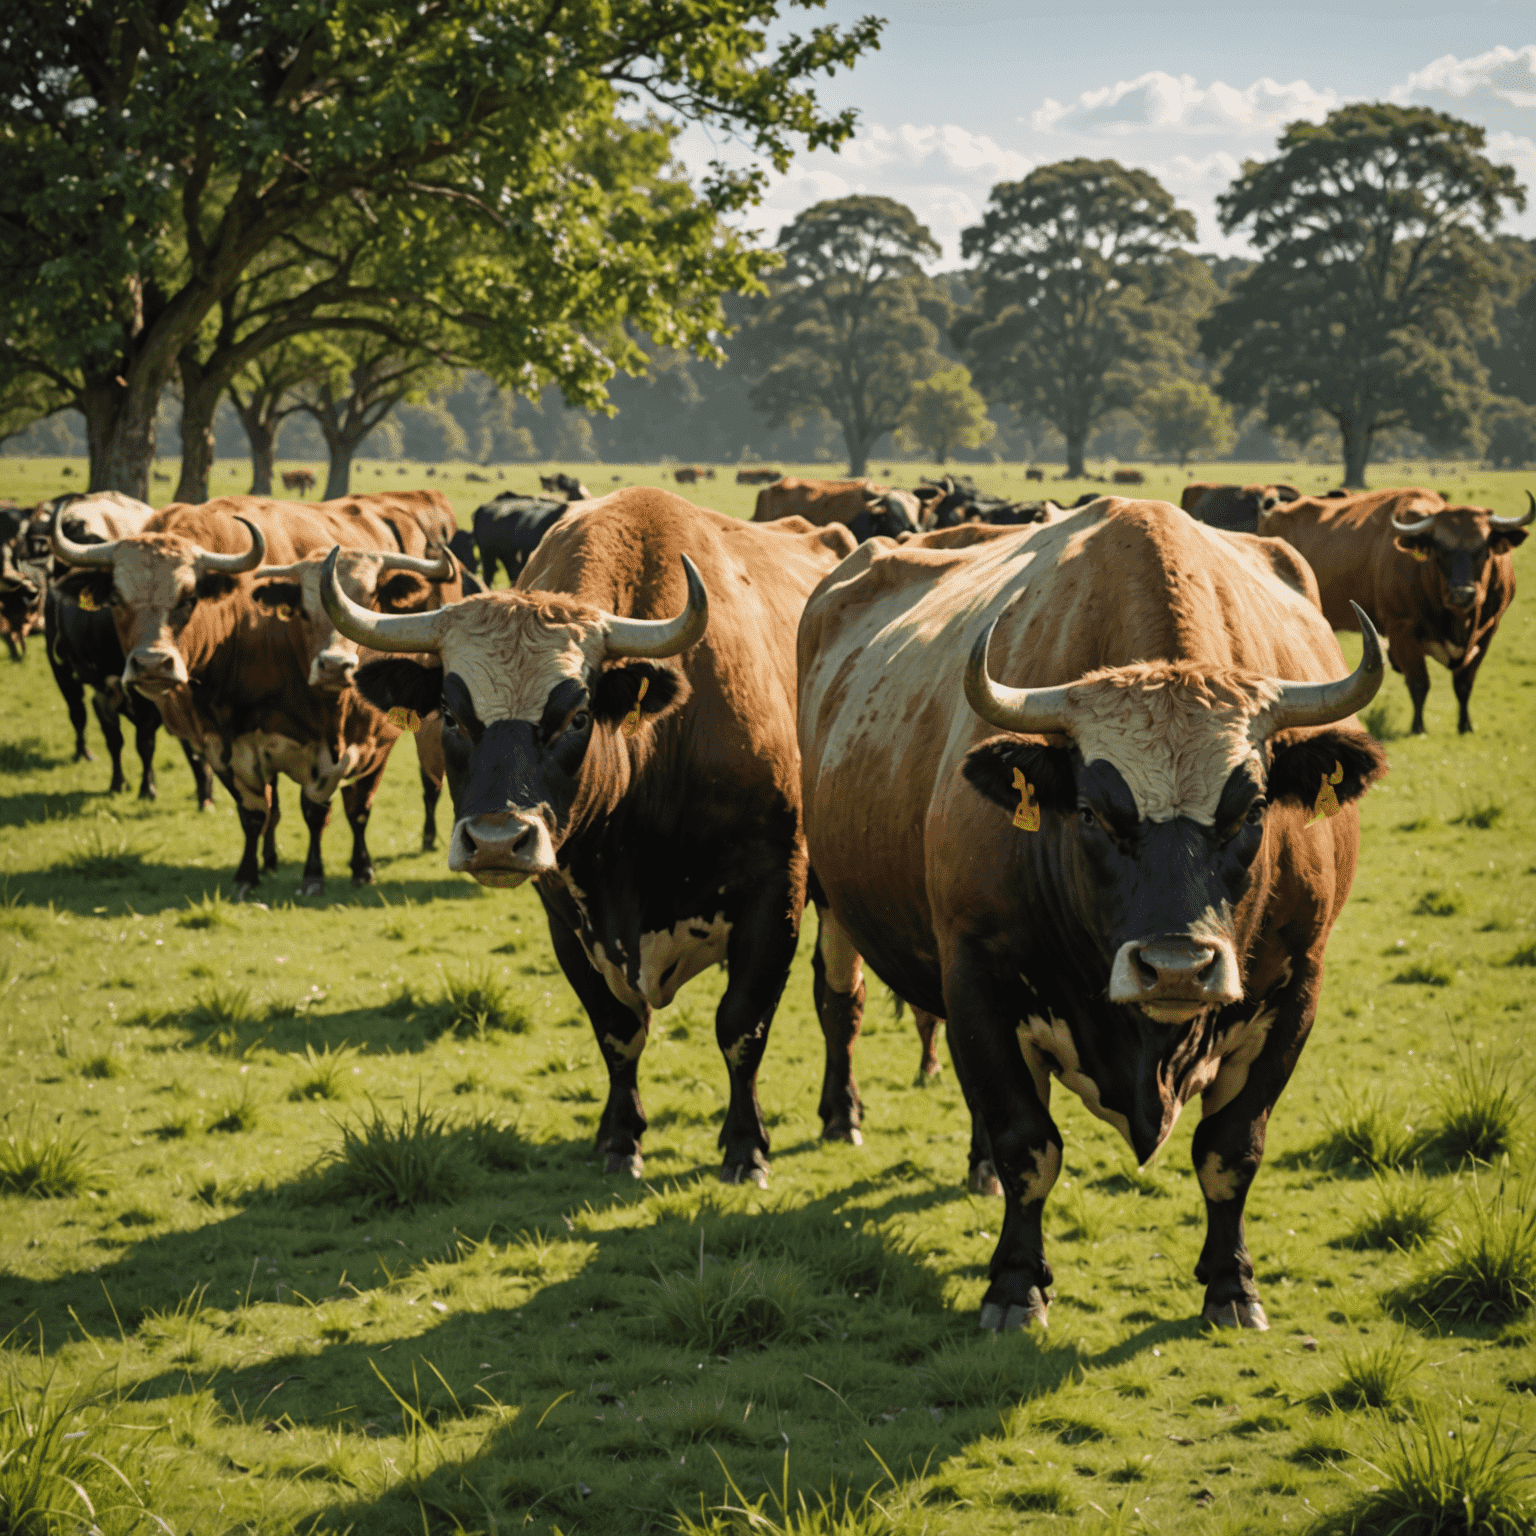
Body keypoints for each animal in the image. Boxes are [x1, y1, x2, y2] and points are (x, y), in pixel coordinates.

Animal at [792, 497, 1394, 1327]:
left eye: (1252, 809)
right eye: (1091, 813)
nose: (1176, 967)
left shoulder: (1298, 984)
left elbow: (1231, 1150)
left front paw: (1231, 1284)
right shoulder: (976, 973)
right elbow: (1028, 1144)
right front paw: (1016, 1285)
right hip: (833, 902)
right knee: (840, 1003)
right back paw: (842, 1115)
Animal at [1253, 488, 1529, 734]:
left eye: (1483, 549)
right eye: (1440, 549)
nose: (1463, 593)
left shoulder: (1488, 630)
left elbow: (1463, 684)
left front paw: (1465, 726)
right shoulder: (1402, 630)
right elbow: (1419, 682)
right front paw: (1418, 728)